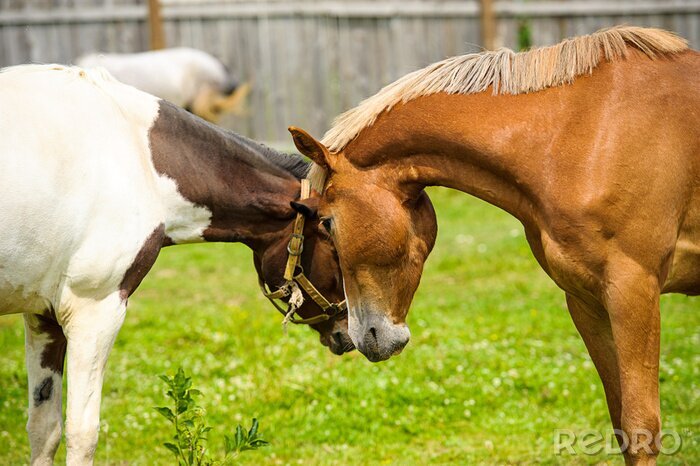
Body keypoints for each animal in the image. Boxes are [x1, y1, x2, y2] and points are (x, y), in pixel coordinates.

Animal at [0, 64, 350, 465]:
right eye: (335, 245)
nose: (352, 334)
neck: (140, 158)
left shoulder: (43, 316)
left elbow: (44, 430)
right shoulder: (93, 312)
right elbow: (82, 432)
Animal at [289, 26, 699, 464]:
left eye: (326, 222)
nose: (363, 336)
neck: (577, 136)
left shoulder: (634, 291)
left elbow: (641, 428)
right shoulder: (587, 301)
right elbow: (621, 420)